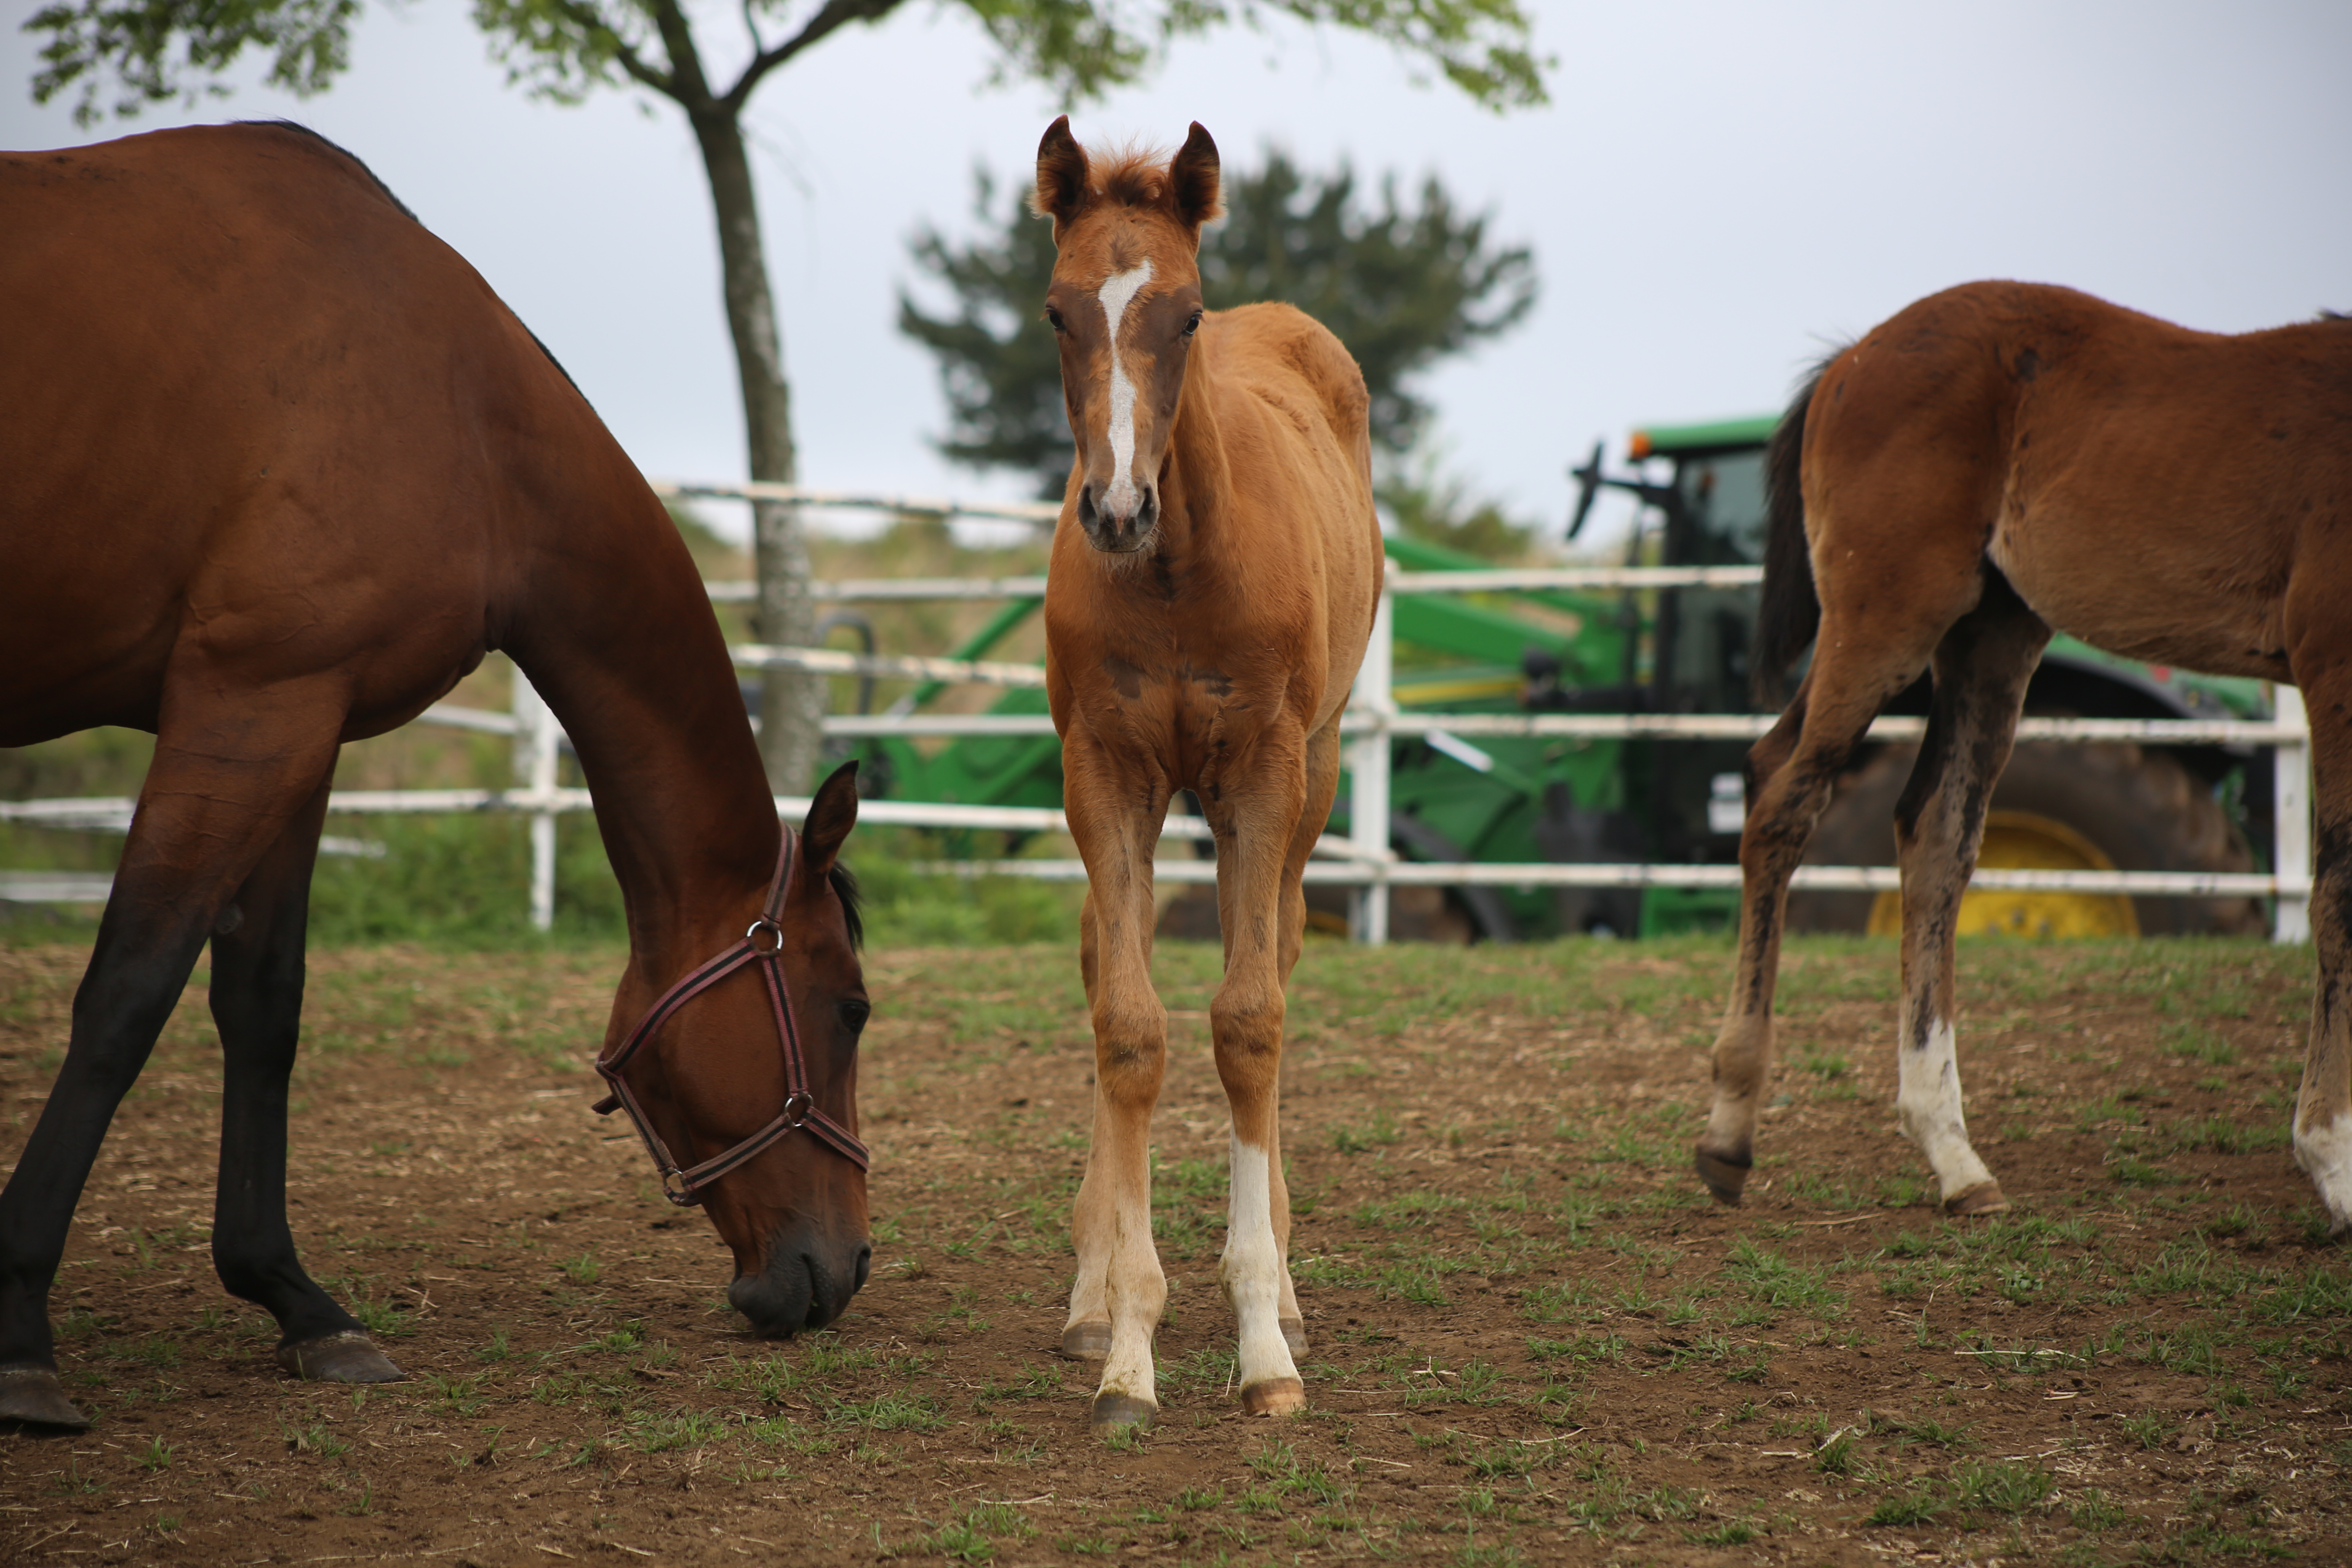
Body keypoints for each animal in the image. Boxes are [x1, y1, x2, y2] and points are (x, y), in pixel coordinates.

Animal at [0, 126, 875, 1420]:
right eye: (851, 1009)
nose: (848, 1266)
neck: (464, 414)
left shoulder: (302, 723)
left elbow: (262, 1002)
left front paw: (294, 1298)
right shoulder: (247, 701)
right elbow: (127, 991)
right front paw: (21, 1325)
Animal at [1039, 116, 1383, 1429]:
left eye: (1184, 315)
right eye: (1057, 312)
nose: (1115, 508)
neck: (1181, 570)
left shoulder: (1261, 773)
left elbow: (1248, 1021)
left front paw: (1261, 1341)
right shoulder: (1105, 772)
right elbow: (1128, 1026)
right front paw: (1126, 1344)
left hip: (1318, 776)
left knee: (1276, 959)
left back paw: (1282, 1284)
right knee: (1105, 962)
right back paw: (1090, 1300)